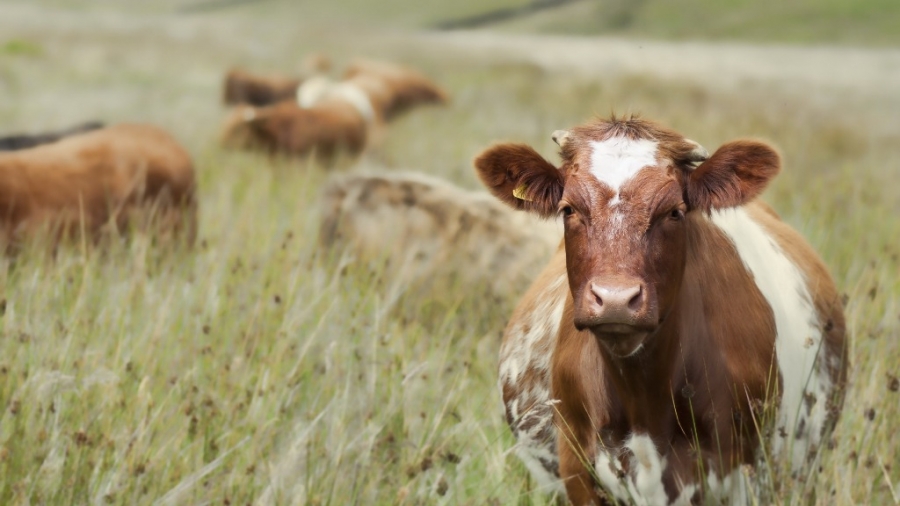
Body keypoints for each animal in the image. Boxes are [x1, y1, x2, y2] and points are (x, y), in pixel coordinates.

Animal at [474, 116, 848, 504]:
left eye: (674, 212)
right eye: (568, 209)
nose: (616, 299)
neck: (644, 399)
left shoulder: (748, 473)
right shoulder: (576, 469)